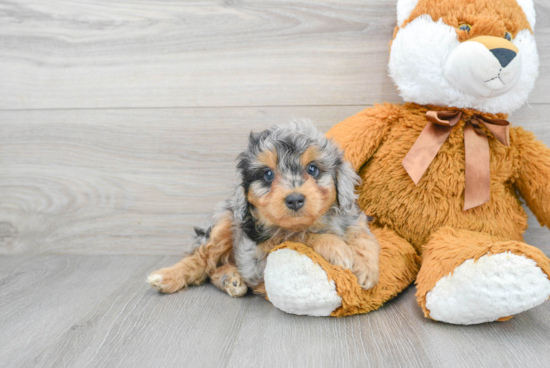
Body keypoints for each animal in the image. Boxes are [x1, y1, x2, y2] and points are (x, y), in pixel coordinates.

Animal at [147, 122, 380, 298]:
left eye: (313, 169)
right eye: (268, 174)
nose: (295, 200)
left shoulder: (351, 217)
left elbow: (362, 235)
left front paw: (367, 267)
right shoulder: (256, 260)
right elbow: (296, 234)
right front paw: (336, 247)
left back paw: (230, 279)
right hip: (224, 222)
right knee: (203, 260)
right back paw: (167, 277)